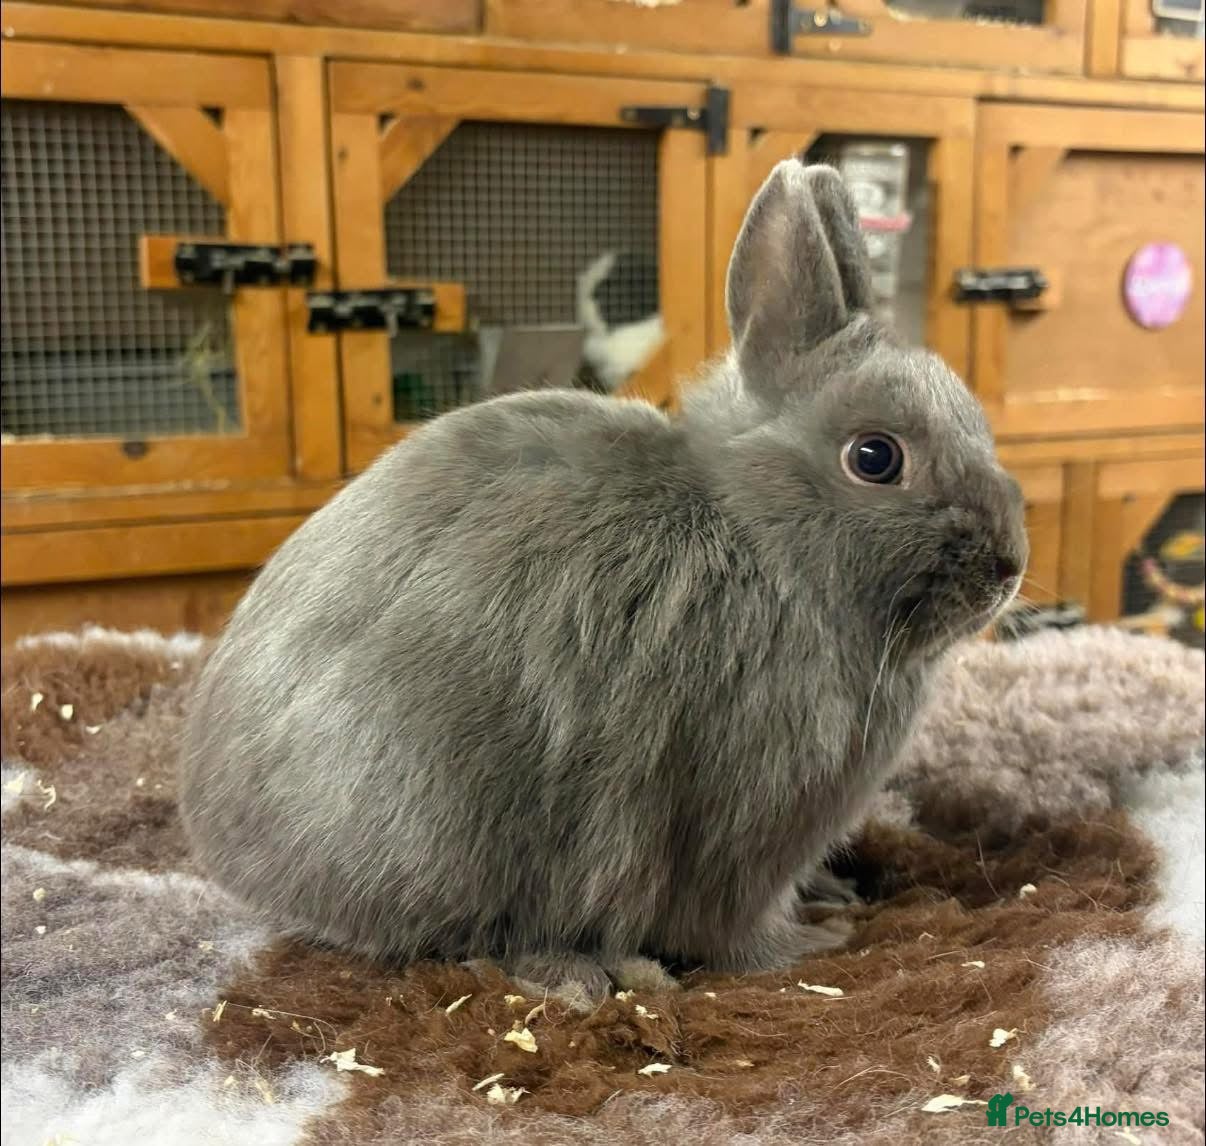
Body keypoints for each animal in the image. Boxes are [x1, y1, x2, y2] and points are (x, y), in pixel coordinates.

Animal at [178, 160, 1027, 1006]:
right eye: (875, 458)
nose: (1009, 567)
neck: (760, 536)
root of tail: (228, 850)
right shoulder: (745, 822)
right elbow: (737, 931)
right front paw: (820, 938)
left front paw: (835, 894)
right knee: (474, 940)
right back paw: (589, 973)